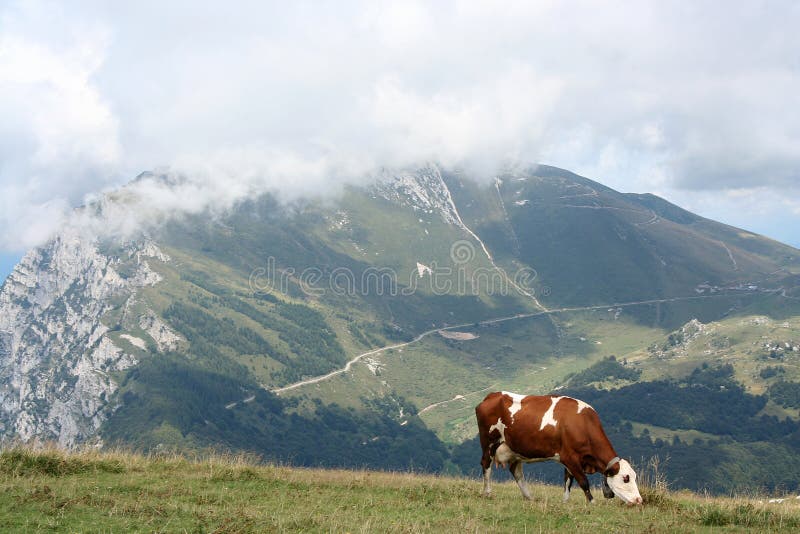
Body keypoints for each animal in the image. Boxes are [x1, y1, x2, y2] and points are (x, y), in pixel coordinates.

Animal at [476, 392, 644, 504]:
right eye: (626, 478)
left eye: (634, 476)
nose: (639, 500)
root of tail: (492, 395)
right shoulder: (569, 457)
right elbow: (583, 481)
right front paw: (591, 502)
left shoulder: (570, 460)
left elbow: (568, 482)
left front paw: (565, 502)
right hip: (489, 442)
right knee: (486, 464)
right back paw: (487, 493)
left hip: (514, 449)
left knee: (516, 471)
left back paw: (529, 497)